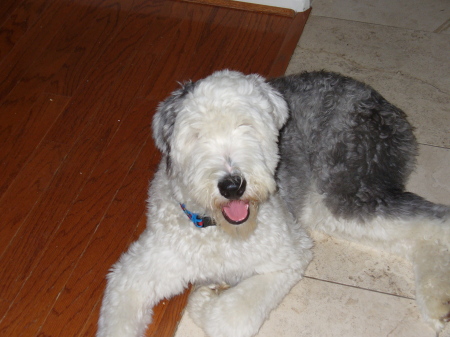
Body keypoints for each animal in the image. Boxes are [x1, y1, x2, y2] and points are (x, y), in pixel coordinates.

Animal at [96, 69, 448, 336]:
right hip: (331, 209)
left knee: (435, 219)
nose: (232, 185)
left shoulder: (289, 256)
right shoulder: (133, 275)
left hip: (349, 190)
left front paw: (205, 297)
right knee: (418, 233)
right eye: (196, 134)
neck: (218, 232)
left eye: (246, 125)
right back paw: (440, 306)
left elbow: (229, 318)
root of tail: (382, 101)